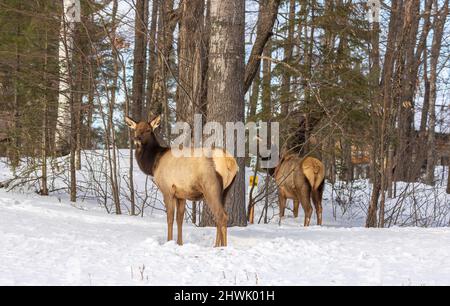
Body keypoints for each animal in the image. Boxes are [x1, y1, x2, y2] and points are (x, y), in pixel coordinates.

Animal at [125, 116, 237, 247]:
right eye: (135, 129)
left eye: (148, 130)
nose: (137, 138)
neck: (153, 164)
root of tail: (230, 162)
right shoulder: (181, 195)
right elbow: (179, 219)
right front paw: (179, 243)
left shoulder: (167, 190)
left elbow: (170, 218)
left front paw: (169, 241)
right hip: (225, 190)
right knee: (220, 216)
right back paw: (216, 246)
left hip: (211, 187)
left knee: (221, 215)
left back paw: (222, 247)